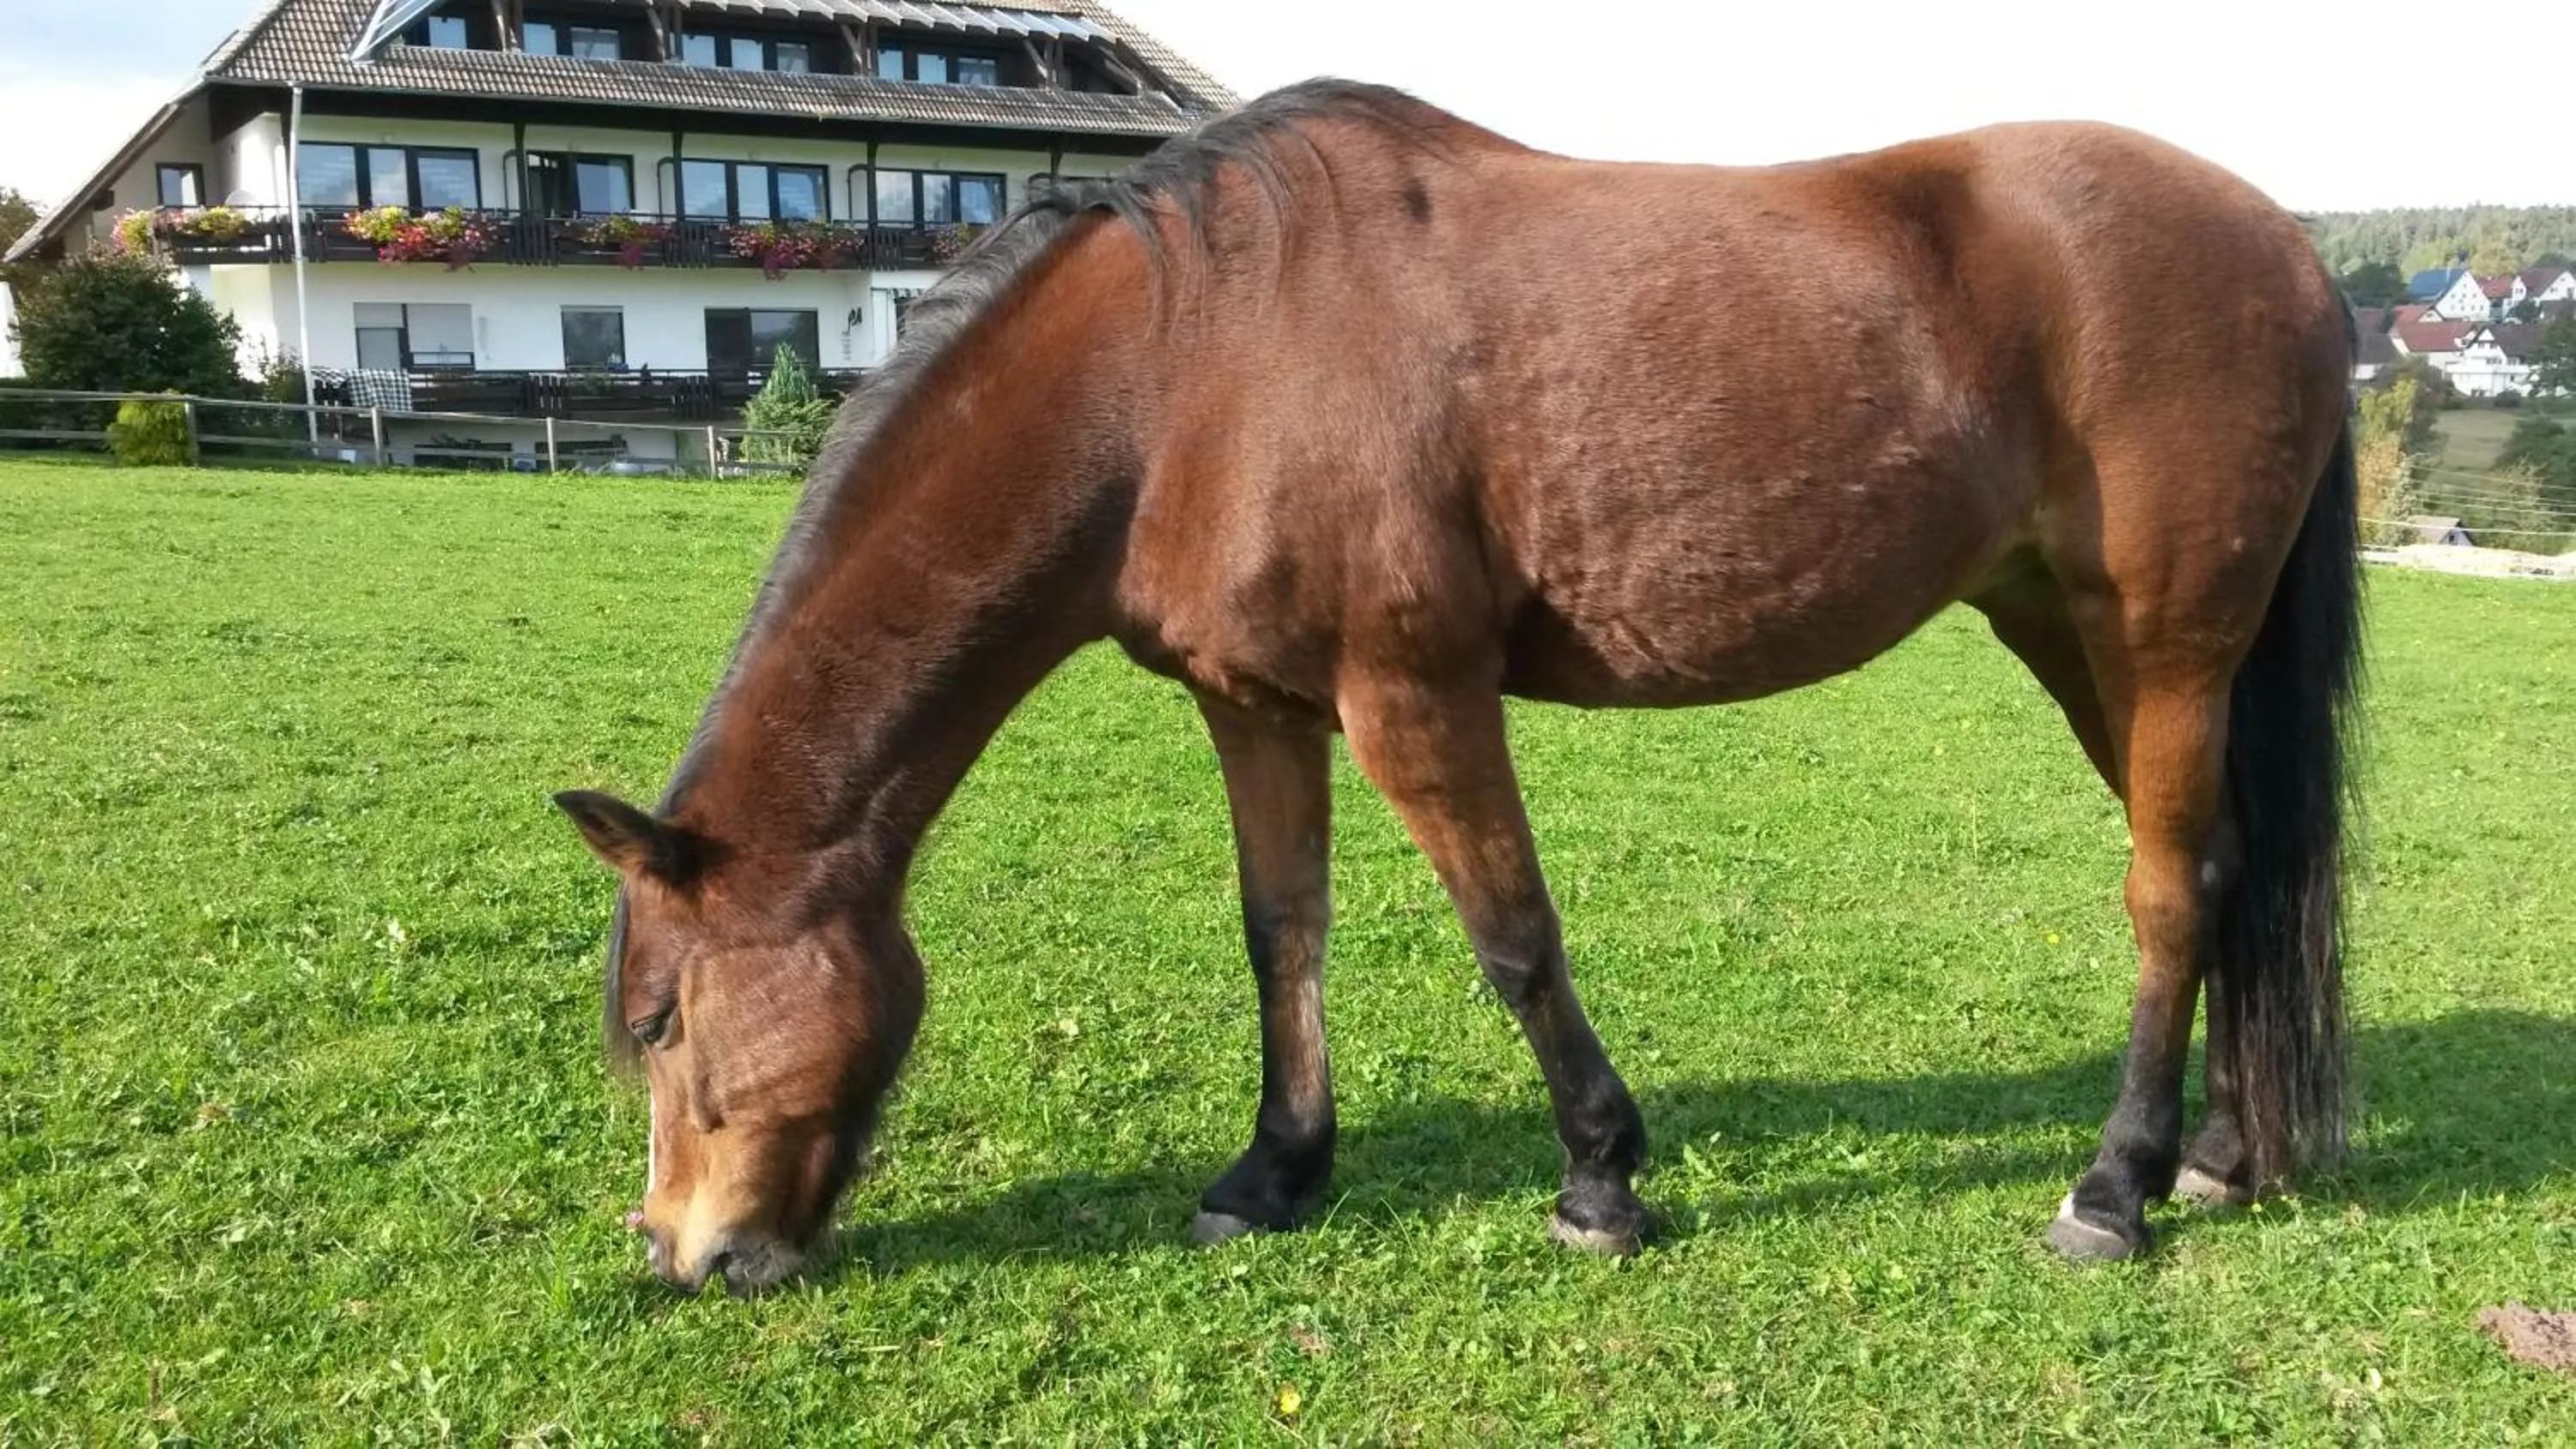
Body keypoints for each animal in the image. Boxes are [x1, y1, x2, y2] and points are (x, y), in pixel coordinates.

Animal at [555, 79, 2361, 1294]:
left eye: (661, 1016)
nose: (686, 1252)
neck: (1189, 364)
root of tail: (2287, 243)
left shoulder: (1413, 692)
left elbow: (1513, 934)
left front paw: (1602, 1180)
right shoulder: (1257, 704)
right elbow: (1281, 929)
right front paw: (1274, 1171)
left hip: (2169, 643)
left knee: (2167, 892)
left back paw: (2113, 1186)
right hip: (2076, 636)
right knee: (2228, 869)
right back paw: (2219, 1153)